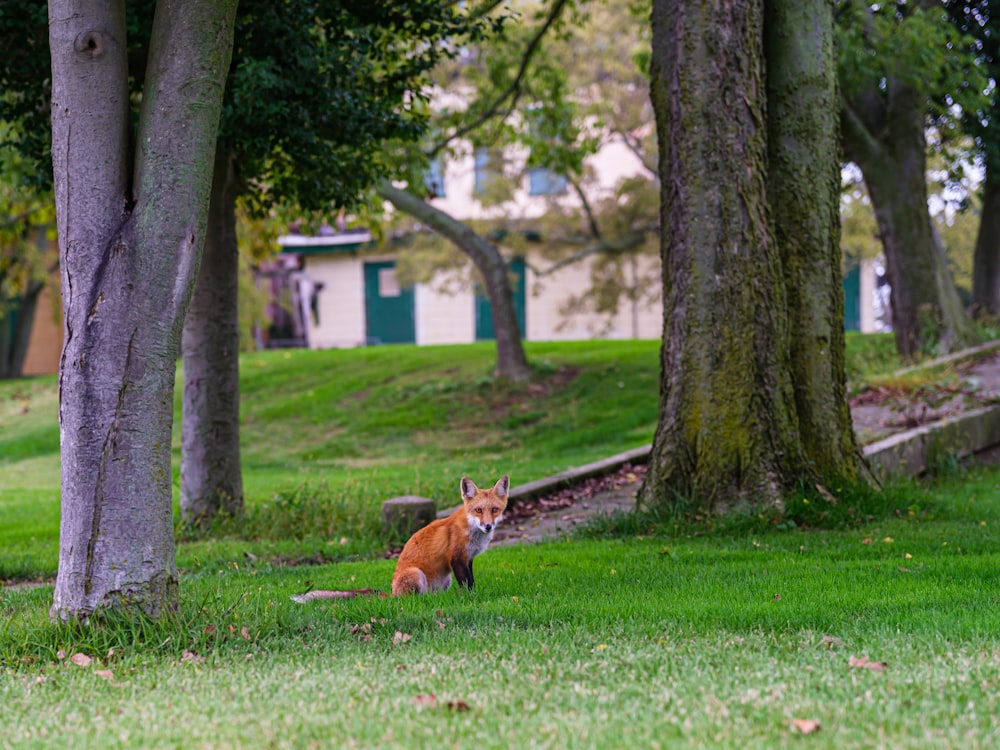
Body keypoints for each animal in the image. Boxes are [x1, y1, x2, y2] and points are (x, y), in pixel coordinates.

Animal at [290, 476, 508, 604]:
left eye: (494, 510)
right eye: (478, 510)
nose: (488, 526)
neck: (472, 531)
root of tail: (393, 593)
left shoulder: (468, 559)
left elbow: (472, 582)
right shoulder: (456, 559)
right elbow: (468, 585)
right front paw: (470, 599)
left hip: (445, 580)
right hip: (416, 574)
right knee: (410, 600)